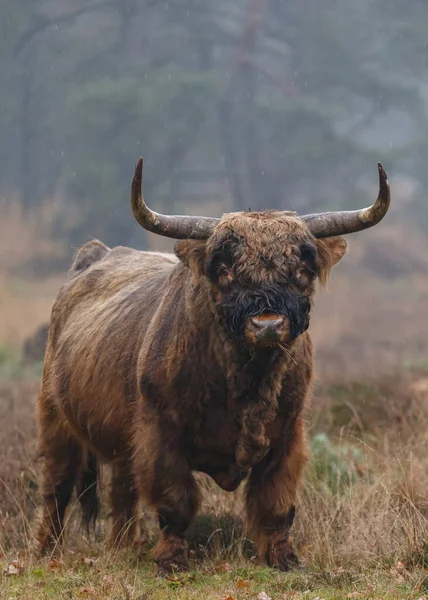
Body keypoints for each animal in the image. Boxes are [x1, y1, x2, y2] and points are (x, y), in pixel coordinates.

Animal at [36, 159, 392, 572]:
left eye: (301, 271)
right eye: (224, 271)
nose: (267, 324)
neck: (248, 384)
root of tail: (93, 255)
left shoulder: (289, 434)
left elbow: (276, 502)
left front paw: (284, 559)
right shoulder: (160, 434)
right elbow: (176, 500)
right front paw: (171, 560)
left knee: (122, 491)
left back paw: (124, 547)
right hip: (55, 418)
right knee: (57, 487)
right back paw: (47, 553)